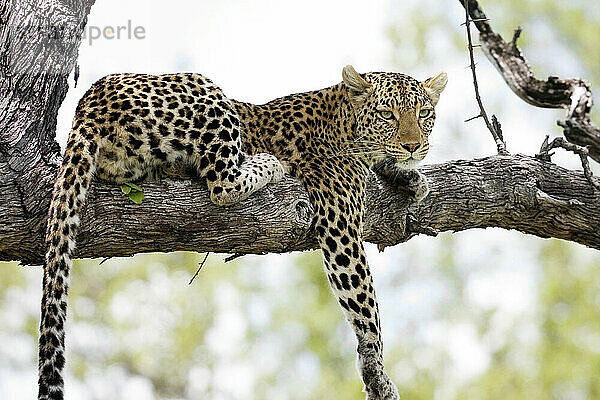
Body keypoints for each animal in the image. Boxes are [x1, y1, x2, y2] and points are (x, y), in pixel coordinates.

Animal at [39, 64, 446, 398]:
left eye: (424, 113)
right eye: (387, 114)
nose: (413, 146)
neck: (344, 122)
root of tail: (88, 105)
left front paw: (410, 176)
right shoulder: (340, 223)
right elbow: (366, 305)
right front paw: (379, 375)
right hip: (205, 91)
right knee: (222, 182)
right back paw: (267, 163)